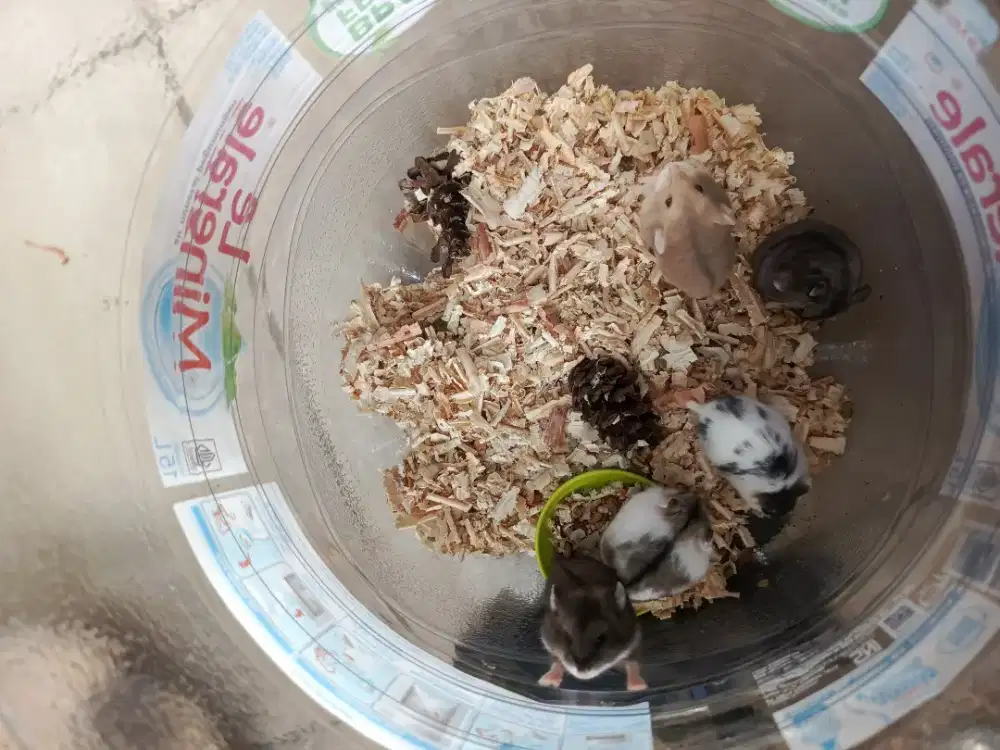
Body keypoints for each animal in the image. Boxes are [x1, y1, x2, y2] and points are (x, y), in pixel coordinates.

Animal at [539, 554, 645, 691]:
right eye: (567, 637)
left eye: (601, 638)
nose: (581, 674)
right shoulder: (550, 644)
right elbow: (556, 661)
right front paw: (546, 683)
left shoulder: (634, 641)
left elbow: (633, 663)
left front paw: (639, 688)